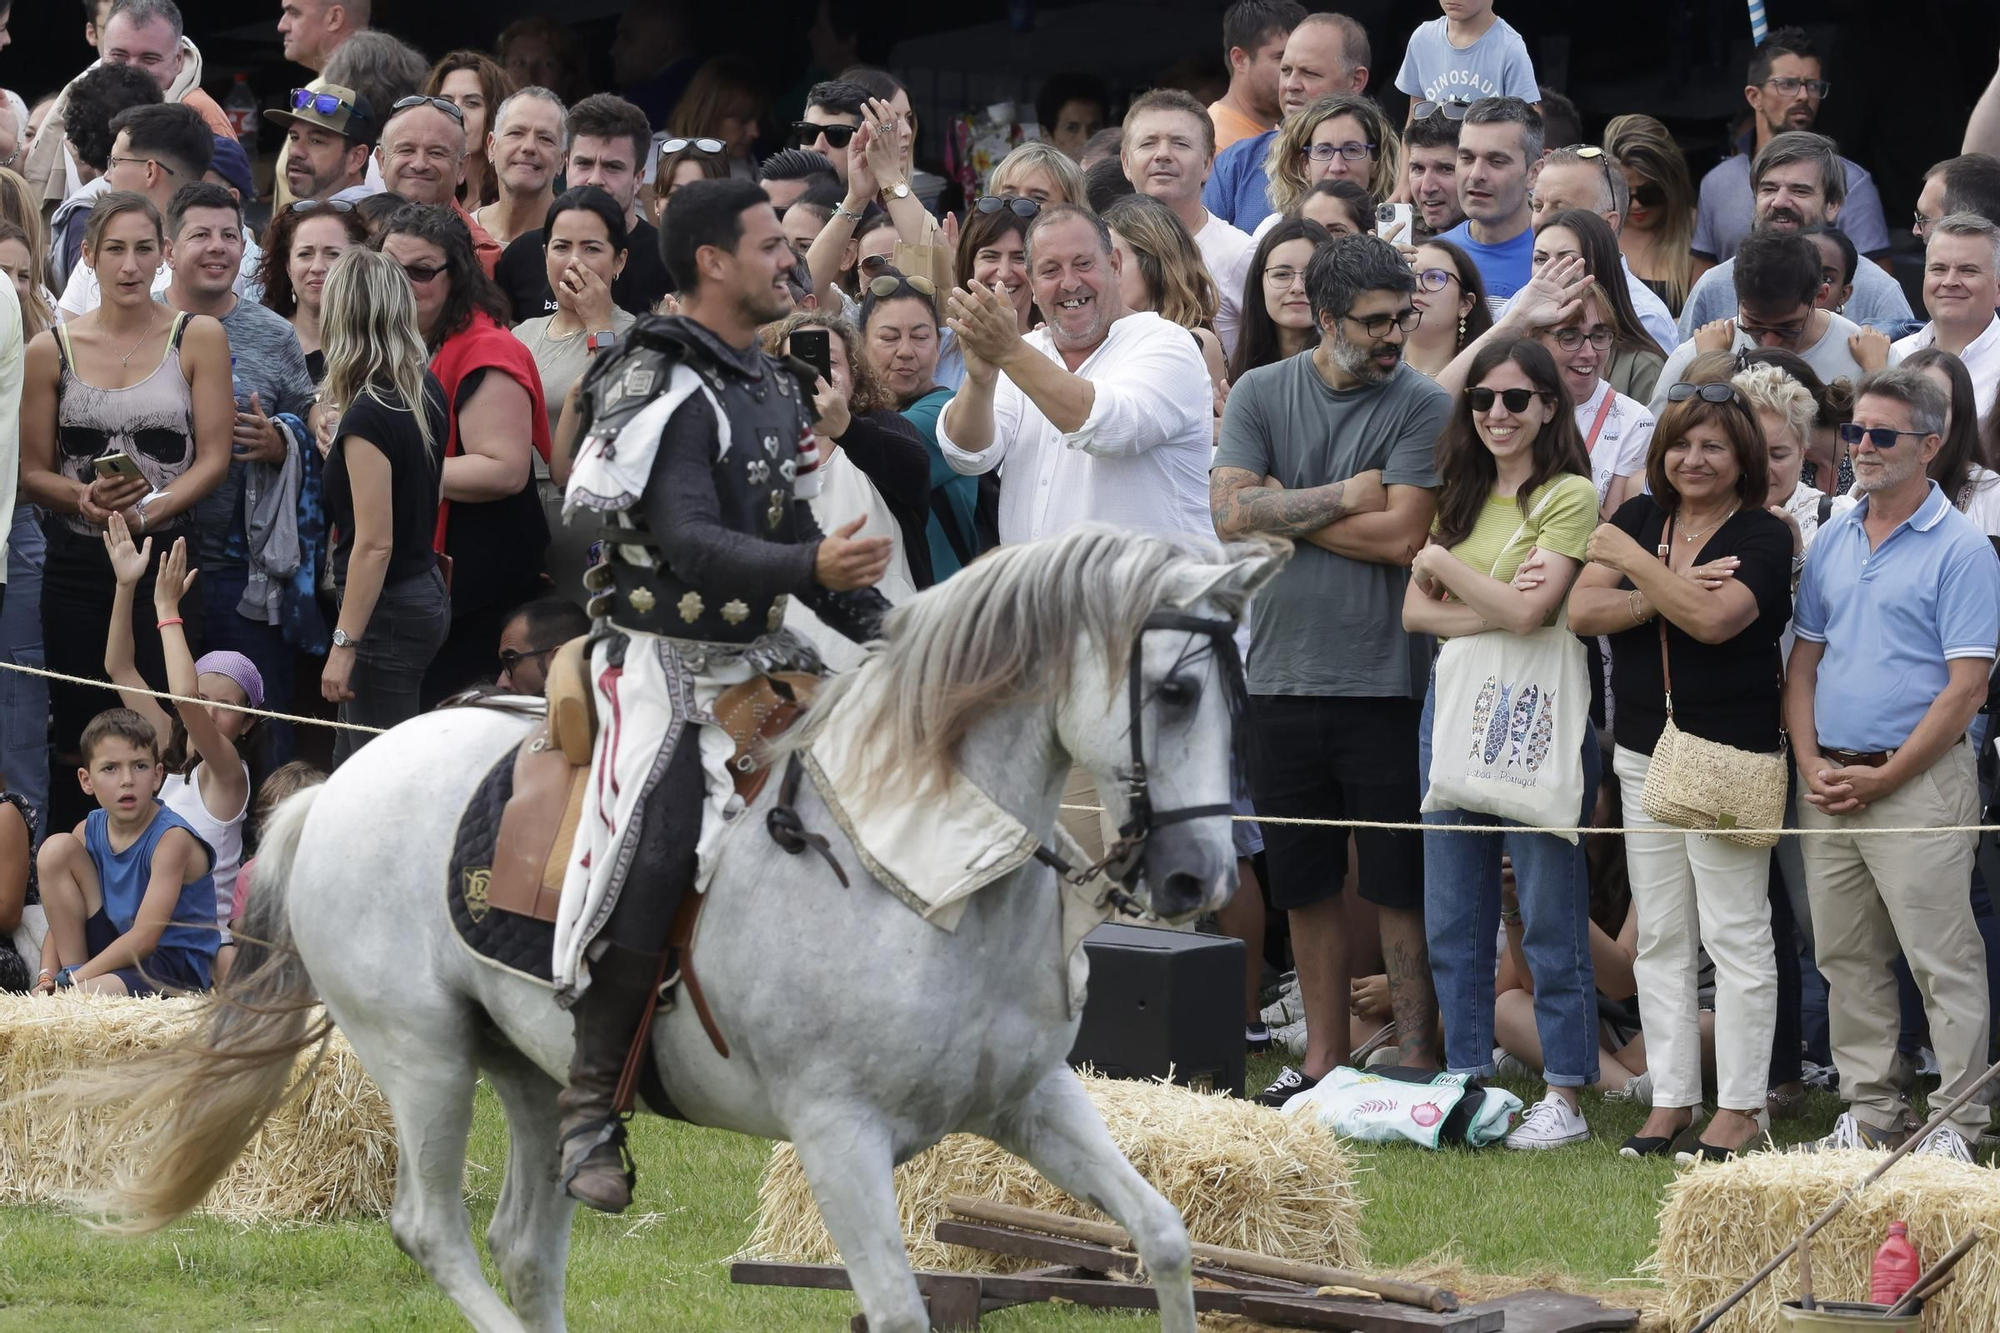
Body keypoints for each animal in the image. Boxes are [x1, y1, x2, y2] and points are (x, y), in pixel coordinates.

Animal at [74, 524, 1280, 1328]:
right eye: (1175, 691)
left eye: (1239, 698)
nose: (1195, 877)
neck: (919, 874)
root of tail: (335, 787)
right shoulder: (837, 1135)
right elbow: (898, 1306)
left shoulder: (1030, 1100)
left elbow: (1164, 1236)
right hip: (422, 1056)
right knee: (435, 1230)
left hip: (531, 1069)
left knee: (525, 1245)